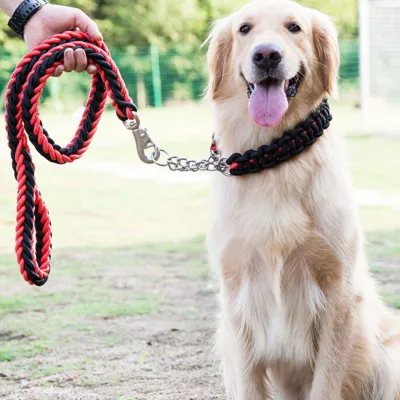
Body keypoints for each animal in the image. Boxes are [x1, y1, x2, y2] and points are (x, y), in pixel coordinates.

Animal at [206, 0, 400, 400]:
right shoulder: (237, 298)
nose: (266, 55)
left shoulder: (338, 291)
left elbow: (326, 382)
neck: (272, 154)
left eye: (294, 27)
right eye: (244, 29)